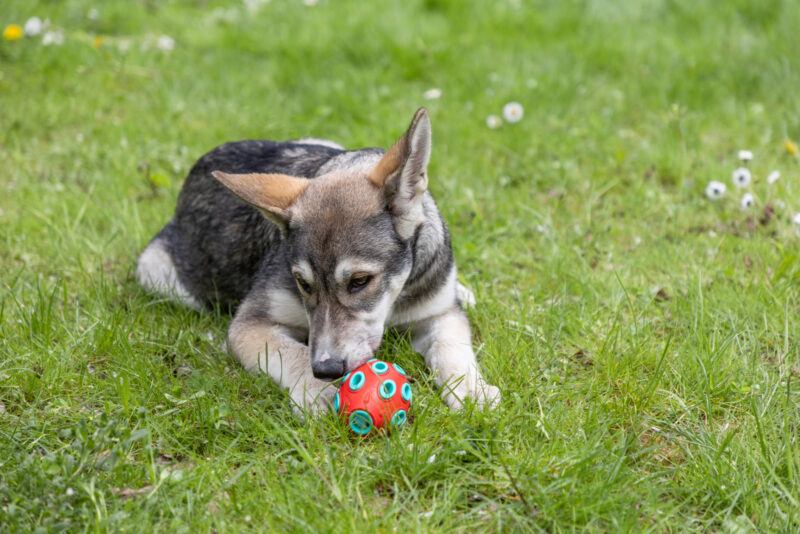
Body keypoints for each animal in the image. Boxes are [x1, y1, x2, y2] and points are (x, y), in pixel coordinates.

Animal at [138, 109, 500, 416]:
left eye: (360, 281)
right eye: (303, 283)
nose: (326, 370)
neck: (396, 299)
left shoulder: (440, 314)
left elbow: (453, 348)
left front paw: (473, 390)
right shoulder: (250, 325)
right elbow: (292, 351)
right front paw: (317, 391)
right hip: (154, 272)